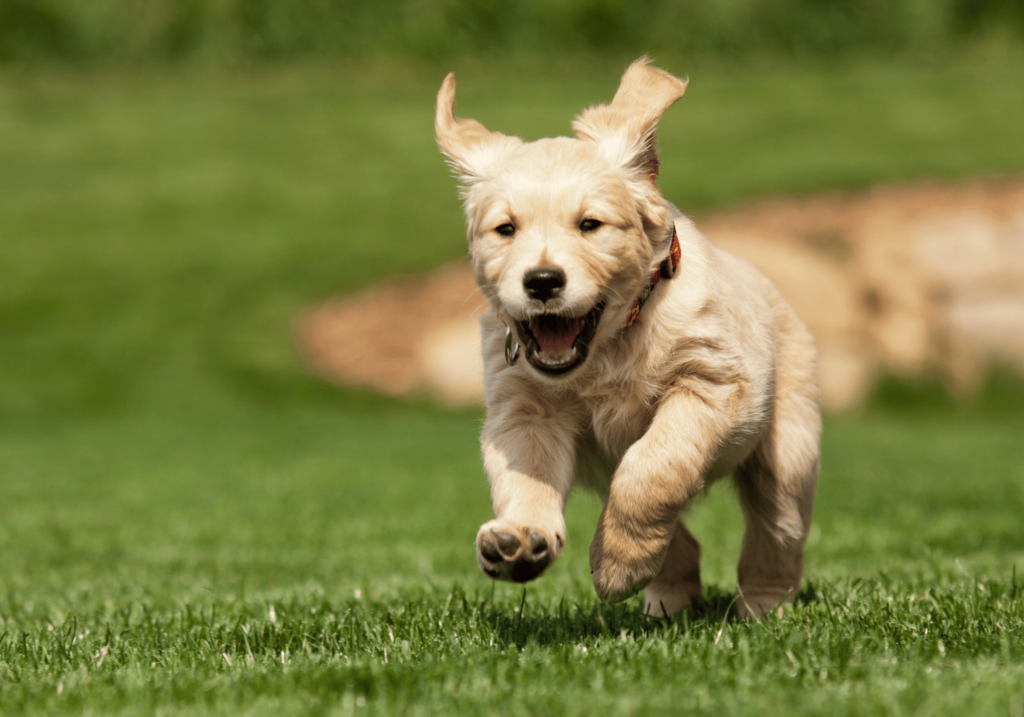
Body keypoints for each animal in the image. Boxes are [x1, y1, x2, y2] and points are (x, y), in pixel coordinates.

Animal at [436, 58, 819, 618]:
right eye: (505, 229)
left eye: (590, 224)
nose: (542, 282)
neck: (609, 346)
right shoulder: (525, 411)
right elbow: (527, 477)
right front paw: (521, 539)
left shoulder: (710, 384)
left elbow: (653, 467)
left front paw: (618, 566)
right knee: (683, 540)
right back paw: (667, 599)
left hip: (787, 449)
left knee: (777, 531)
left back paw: (762, 608)